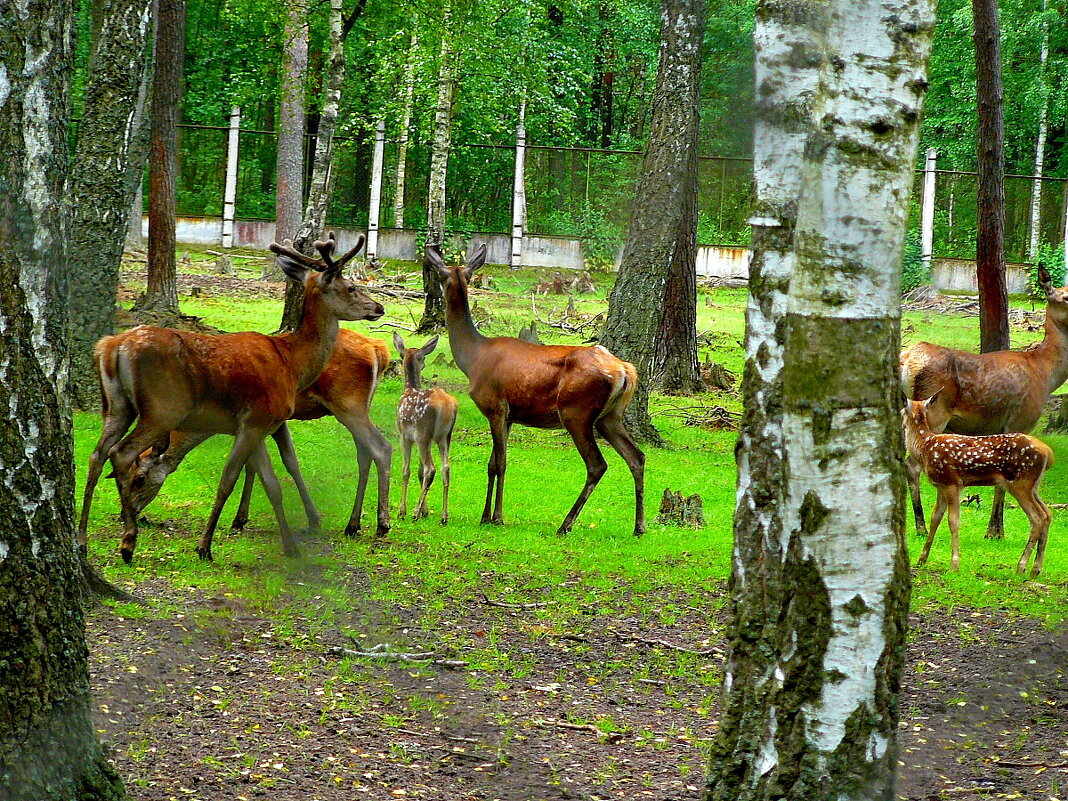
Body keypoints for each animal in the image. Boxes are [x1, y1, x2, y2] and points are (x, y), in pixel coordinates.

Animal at [81, 231, 386, 563]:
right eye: (351, 287)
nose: (378, 308)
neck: (291, 363)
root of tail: (111, 346)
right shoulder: (257, 420)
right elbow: (232, 480)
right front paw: (205, 546)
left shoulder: (259, 424)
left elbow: (271, 482)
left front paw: (285, 542)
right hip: (164, 408)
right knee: (119, 453)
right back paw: (127, 542)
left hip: (117, 406)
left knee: (97, 454)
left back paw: (82, 539)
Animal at [393, 333, 459, 527]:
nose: (424, 364)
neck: (408, 389)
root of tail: (447, 406)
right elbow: (419, 472)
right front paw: (425, 511)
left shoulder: (404, 435)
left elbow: (407, 470)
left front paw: (403, 511)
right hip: (444, 436)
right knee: (445, 468)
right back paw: (444, 516)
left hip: (424, 432)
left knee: (431, 468)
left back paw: (414, 513)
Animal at [429, 241, 645, 536]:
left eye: (441, 275)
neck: (472, 359)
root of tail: (625, 370)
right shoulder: (509, 416)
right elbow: (493, 463)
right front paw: (487, 515)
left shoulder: (495, 407)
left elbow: (501, 463)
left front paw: (495, 517)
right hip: (610, 416)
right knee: (637, 456)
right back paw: (639, 527)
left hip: (577, 411)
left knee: (597, 464)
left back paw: (565, 524)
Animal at [905, 390, 1055, 572]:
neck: (924, 448)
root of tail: (1048, 453)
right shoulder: (941, 486)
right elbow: (935, 518)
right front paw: (922, 559)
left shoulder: (952, 483)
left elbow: (953, 520)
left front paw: (954, 564)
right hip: (1033, 486)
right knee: (1047, 514)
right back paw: (1036, 569)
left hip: (1020, 483)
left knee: (1037, 518)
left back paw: (1021, 566)